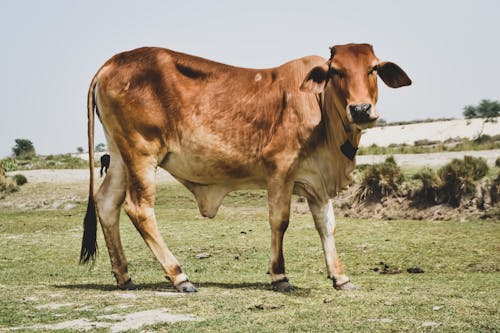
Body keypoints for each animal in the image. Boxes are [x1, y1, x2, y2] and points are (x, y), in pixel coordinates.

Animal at [81, 42, 410, 292]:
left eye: (373, 68)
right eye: (336, 71)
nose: (361, 109)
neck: (320, 109)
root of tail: (110, 63)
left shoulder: (317, 183)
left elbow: (326, 225)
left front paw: (340, 277)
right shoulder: (280, 169)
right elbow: (279, 221)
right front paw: (280, 276)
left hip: (120, 157)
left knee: (107, 203)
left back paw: (124, 276)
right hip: (142, 155)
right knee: (139, 208)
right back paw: (179, 276)